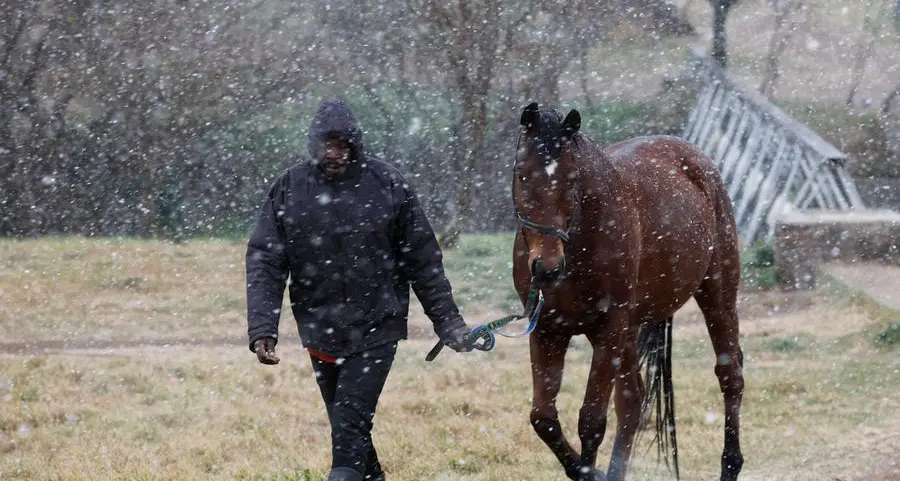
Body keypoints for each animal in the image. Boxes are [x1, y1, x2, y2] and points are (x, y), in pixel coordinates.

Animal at [512, 103, 744, 480]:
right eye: (521, 174)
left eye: (571, 179)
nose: (547, 268)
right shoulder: (547, 330)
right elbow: (543, 418)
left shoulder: (610, 328)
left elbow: (591, 421)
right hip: (629, 331)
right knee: (632, 401)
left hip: (717, 296)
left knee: (730, 375)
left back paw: (730, 464)